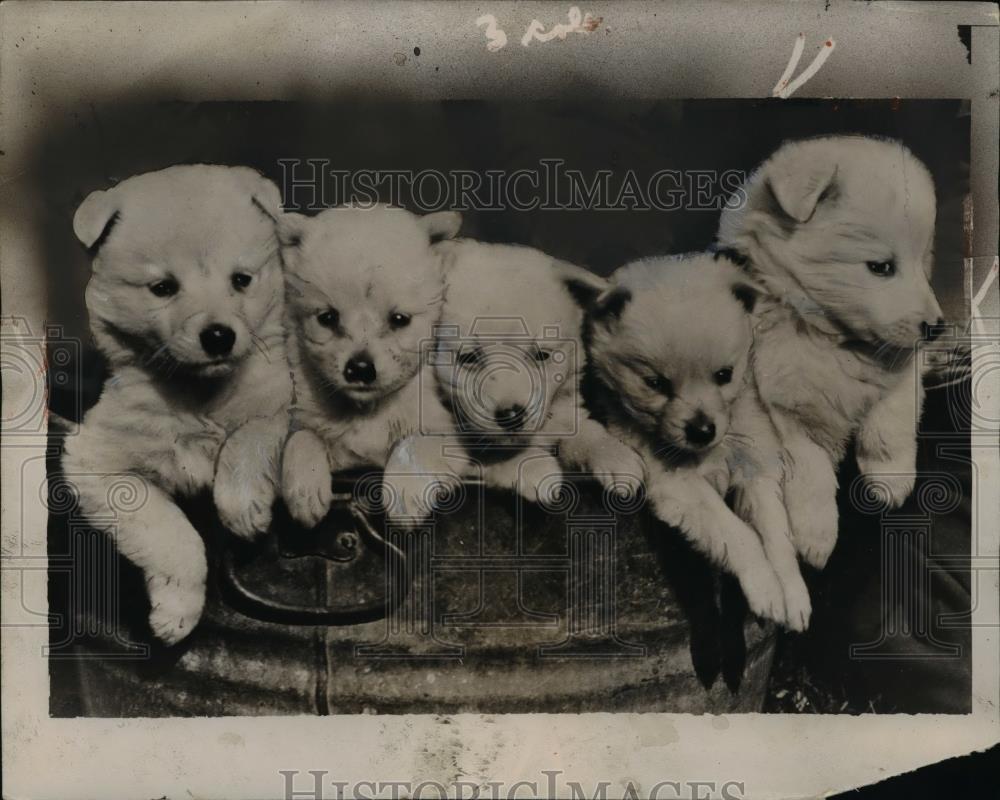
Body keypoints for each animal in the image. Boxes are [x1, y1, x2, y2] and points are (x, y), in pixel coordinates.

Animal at [63, 166, 292, 648]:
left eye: (241, 279)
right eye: (163, 288)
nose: (219, 336)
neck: (199, 395)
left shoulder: (286, 400)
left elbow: (251, 436)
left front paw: (243, 507)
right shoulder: (96, 463)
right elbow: (172, 534)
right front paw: (176, 612)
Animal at [584, 253, 812, 628]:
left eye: (724, 375)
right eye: (655, 383)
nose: (702, 431)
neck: (710, 452)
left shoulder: (756, 468)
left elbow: (776, 531)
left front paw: (791, 592)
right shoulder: (681, 487)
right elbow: (740, 534)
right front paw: (765, 587)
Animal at [716, 134, 940, 564]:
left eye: (923, 263)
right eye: (881, 267)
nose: (937, 329)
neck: (833, 337)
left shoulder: (905, 361)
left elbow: (891, 417)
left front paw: (890, 477)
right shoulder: (783, 405)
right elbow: (810, 468)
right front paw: (815, 535)